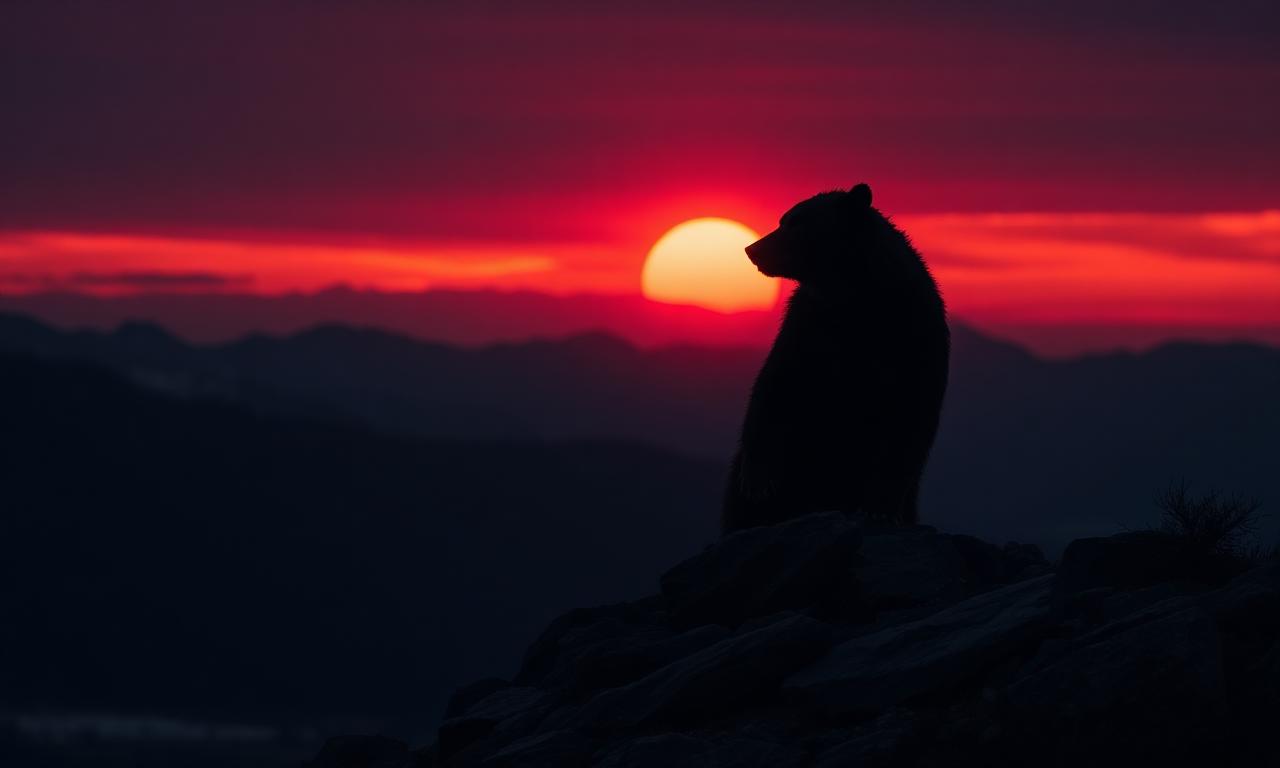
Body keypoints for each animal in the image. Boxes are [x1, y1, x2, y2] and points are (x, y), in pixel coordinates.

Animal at [722, 183, 949, 533]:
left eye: (795, 222)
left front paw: (879, 508)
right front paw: (757, 481)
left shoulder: (914, 335)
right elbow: (776, 382)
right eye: (784, 219)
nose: (752, 249)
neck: (852, 295)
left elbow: (910, 418)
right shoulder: (808, 326)